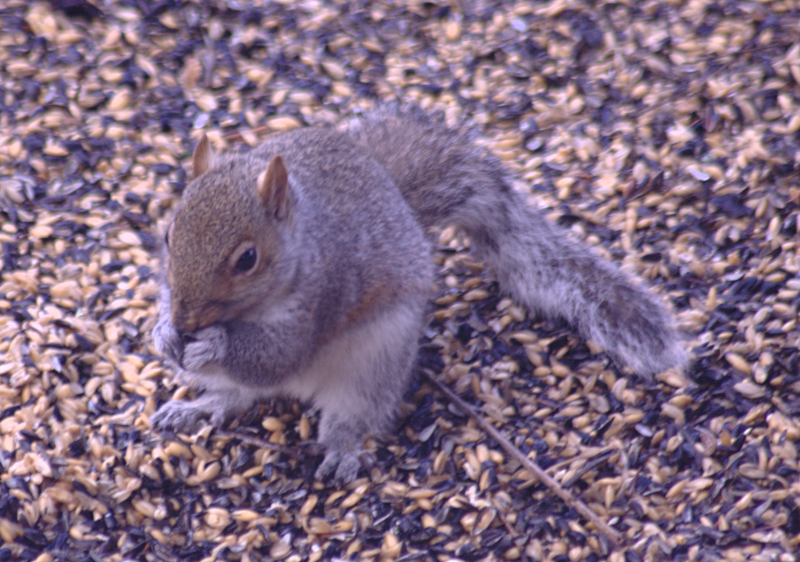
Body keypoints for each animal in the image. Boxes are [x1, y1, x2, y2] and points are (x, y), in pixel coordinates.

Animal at [151, 104, 687, 484]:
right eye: (169, 233)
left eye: (247, 259)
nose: (186, 321)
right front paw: (164, 335)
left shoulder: (324, 293)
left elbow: (274, 356)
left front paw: (215, 344)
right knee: (240, 395)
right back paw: (197, 406)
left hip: (376, 358)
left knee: (351, 414)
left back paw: (341, 450)